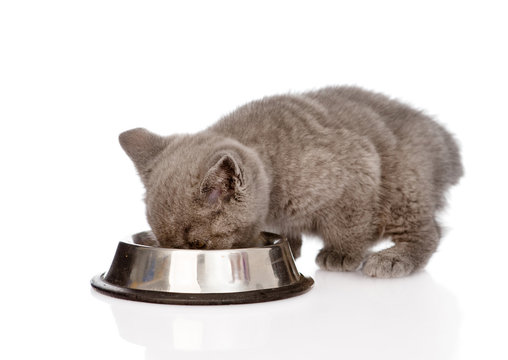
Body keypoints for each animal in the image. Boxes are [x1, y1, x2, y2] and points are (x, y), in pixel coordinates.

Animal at [121, 86, 462, 278]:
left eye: (198, 245)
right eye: (164, 243)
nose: (183, 257)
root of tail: (444, 140)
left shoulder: (358, 169)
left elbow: (349, 225)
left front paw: (342, 253)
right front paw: (284, 241)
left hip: (404, 183)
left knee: (429, 231)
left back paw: (394, 258)